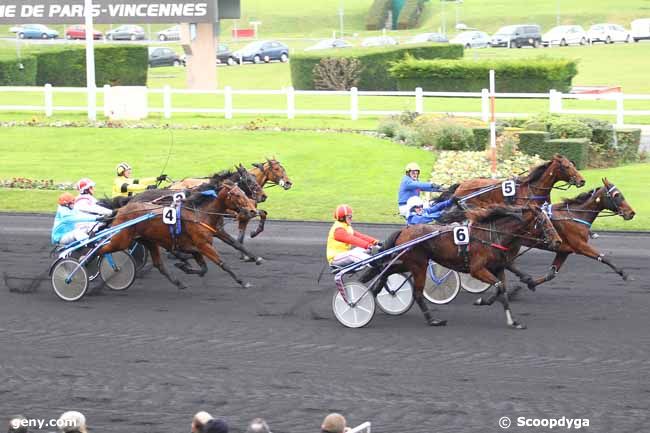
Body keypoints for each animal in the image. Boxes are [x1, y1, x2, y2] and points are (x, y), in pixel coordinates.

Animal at [98, 181, 256, 288]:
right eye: (237, 194)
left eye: (243, 192)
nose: (253, 210)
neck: (199, 213)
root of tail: (121, 209)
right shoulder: (203, 244)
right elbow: (222, 263)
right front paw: (242, 281)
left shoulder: (199, 243)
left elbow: (205, 267)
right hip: (121, 239)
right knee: (100, 249)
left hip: (148, 240)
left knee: (159, 264)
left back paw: (178, 281)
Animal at [382, 204, 560, 330]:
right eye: (543, 221)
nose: (558, 241)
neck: (492, 236)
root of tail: (403, 231)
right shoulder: (477, 269)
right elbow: (499, 287)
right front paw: (482, 300)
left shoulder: (498, 268)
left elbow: (502, 290)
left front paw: (513, 322)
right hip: (419, 265)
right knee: (417, 293)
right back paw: (433, 320)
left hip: (409, 263)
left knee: (387, 273)